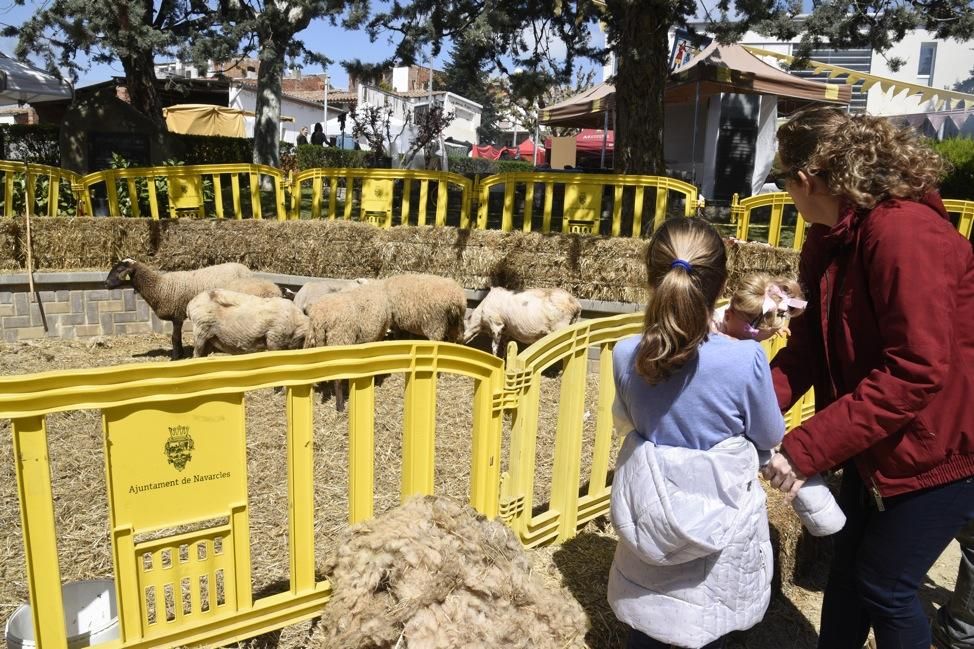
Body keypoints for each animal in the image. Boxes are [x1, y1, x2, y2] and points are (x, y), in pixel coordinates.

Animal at [105, 258, 258, 360]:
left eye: (119, 270)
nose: (105, 284)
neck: (159, 286)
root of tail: (246, 270)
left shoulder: (177, 315)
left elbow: (175, 337)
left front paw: (175, 357)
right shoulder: (176, 316)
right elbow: (176, 337)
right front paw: (181, 354)